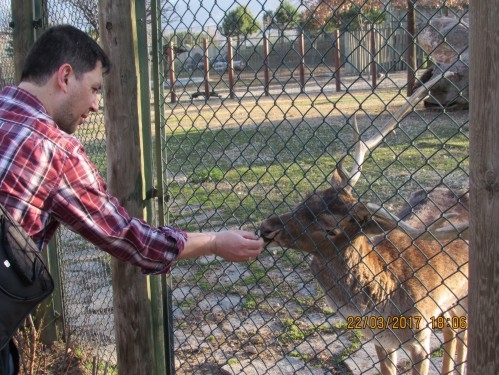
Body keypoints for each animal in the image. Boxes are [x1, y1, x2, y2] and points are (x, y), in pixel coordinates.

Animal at [260, 72, 470, 374]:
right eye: (308, 198)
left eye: (331, 229)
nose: (267, 227)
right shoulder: (379, 340)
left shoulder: (421, 337)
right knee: (454, 329)